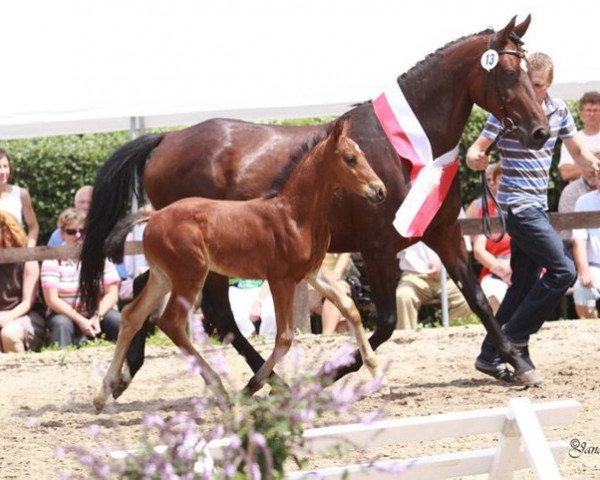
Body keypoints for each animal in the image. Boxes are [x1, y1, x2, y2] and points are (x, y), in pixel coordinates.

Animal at [79, 15, 548, 394]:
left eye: (532, 73)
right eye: (509, 72)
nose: (540, 131)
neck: (406, 148)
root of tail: (167, 139)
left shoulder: (444, 233)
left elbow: (478, 299)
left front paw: (518, 365)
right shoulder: (378, 248)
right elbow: (385, 321)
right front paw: (330, 375)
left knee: (153, 295)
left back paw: (129, 374)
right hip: (204, 260)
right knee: (211, 313)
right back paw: (261, 380)